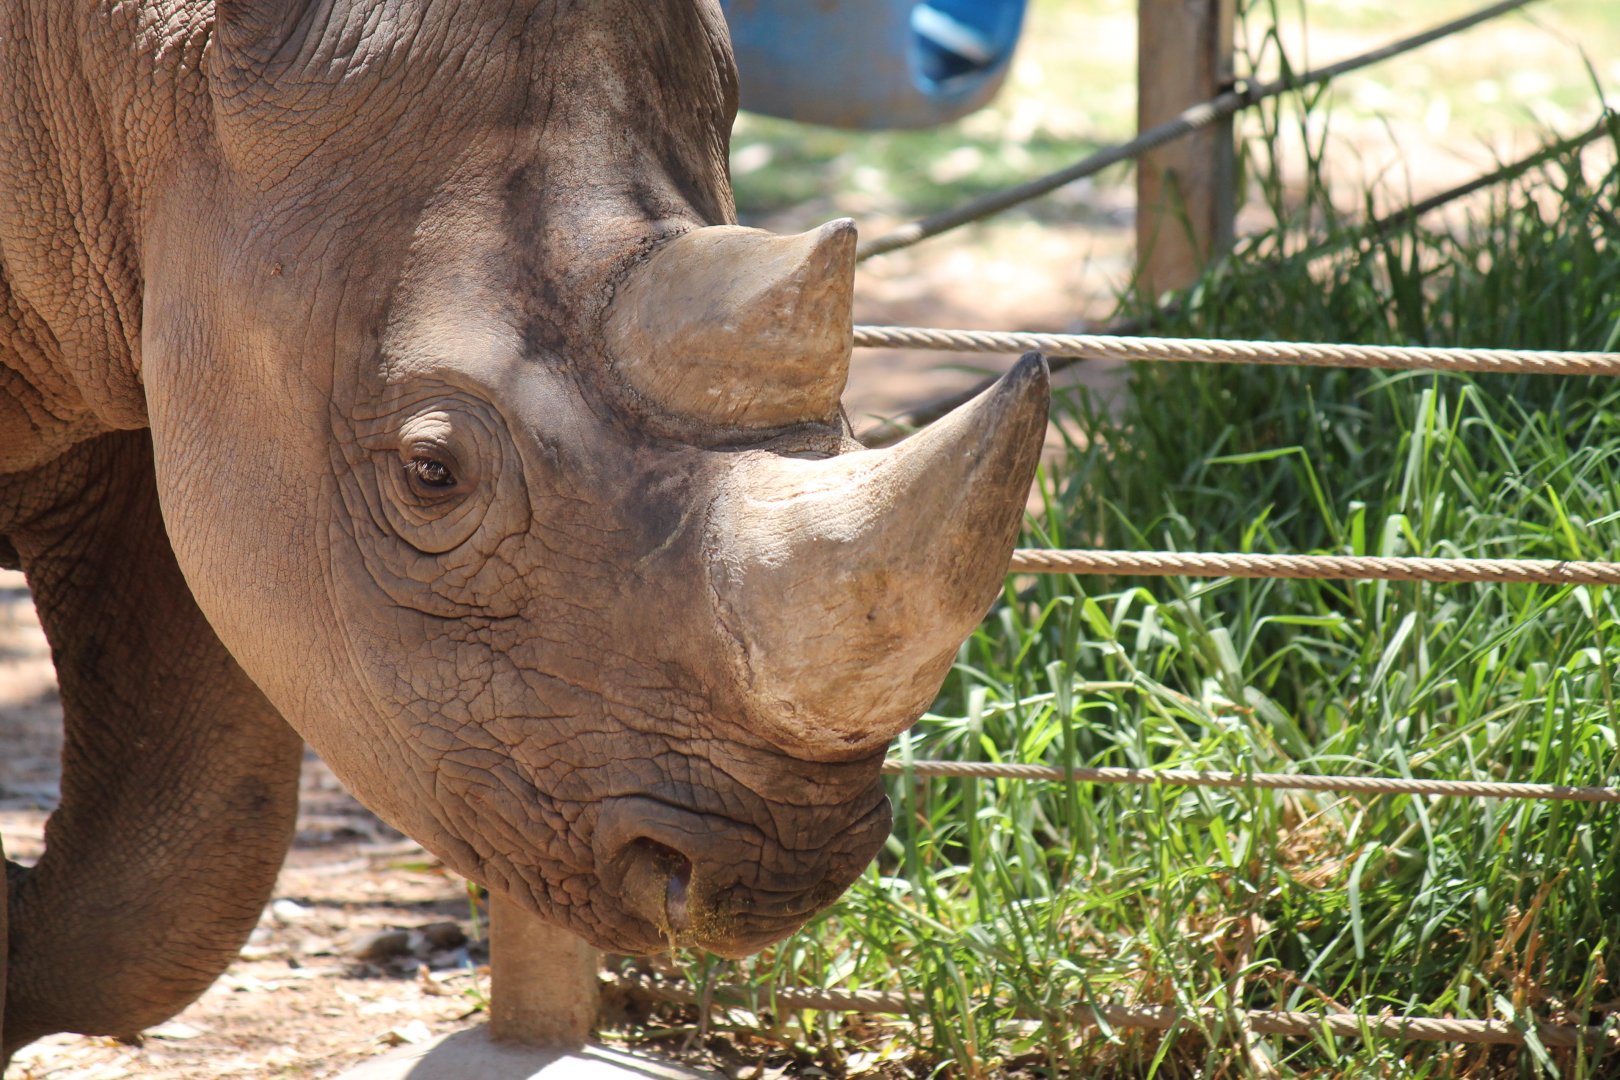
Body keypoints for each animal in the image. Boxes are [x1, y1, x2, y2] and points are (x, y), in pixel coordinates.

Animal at [0, 0, 1046, 1060]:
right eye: (431, 474)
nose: (787, 868)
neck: (121, 64)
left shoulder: (164, 394)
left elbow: (185, 851)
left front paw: (10, 925)